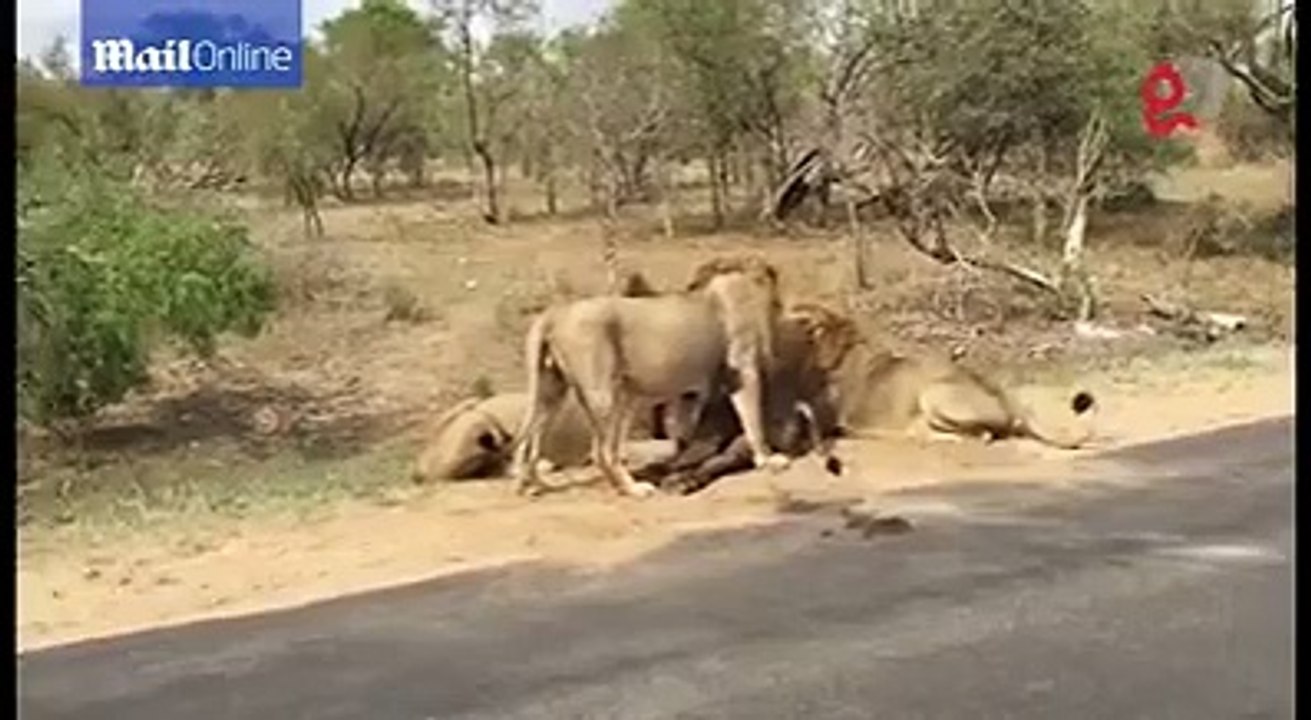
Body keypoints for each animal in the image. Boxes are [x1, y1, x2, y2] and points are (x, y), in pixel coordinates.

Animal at [511, 256, 791, 498]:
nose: (781, 305)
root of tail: (554, 313)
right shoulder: (744, 372)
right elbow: (753, 423)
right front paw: (768, 459)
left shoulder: (688, 393)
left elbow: (684, 434)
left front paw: (680, 465)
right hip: (606, 396)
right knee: (602, 451)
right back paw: (633, 489)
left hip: (554, 391)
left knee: (531, 442)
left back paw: (532, 485)